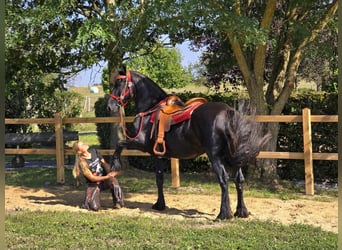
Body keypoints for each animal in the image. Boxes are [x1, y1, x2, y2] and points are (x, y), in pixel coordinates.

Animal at [107, 65, 270, 220]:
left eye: (119, 82)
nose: (110, 106)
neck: (150, 109)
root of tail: (227, 112)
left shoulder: (142, 144)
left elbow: (119, 144)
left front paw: (115, 166)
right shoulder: (158, 154)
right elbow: (159, 178)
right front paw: (160, 204)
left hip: (215, 156)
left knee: (223, 180)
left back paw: (223, 214)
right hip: (233, 156)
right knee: (238, 180)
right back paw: (241, 211)